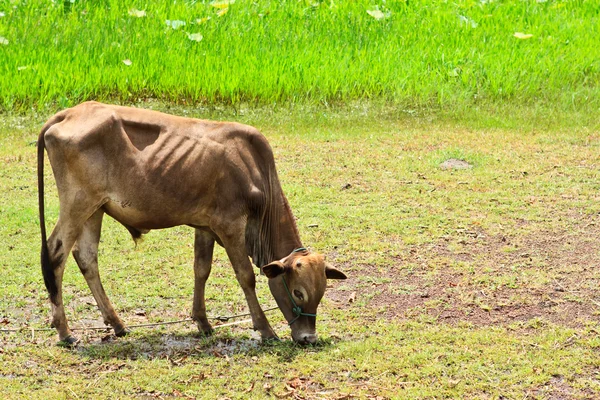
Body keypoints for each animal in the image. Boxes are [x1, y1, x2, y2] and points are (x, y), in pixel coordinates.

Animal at [37, 101, 346, 346]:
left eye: (321, 293)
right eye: (298, 292)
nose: (309, 338)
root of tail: (69, 113)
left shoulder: (205, 226)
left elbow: (201, 270)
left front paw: (203, 322)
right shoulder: (230, 226)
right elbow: (245, 276)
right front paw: (266, 330)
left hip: (95, 209)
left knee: (86, 257)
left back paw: (117, 324)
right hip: (77, 204)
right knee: (56, 254)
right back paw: (65, 332)